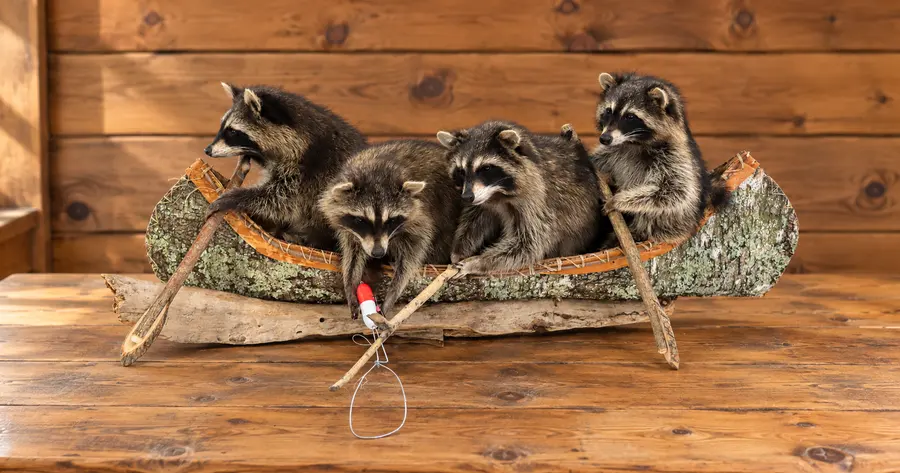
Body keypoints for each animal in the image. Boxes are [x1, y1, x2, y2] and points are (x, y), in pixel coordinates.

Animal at [204, 83, 367, 250]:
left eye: (232, 131)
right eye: (223, 126)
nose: (207, 150)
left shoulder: (310, 170)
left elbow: (281, 201)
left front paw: (236, 197)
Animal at [319, 140, 461, 318]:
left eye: (391, 220)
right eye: (361, 220)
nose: (378, 253)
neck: (377, 169)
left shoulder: (421, 215)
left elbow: (413, 252)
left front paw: (395, 289)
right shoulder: (351, 230)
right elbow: (352, 253)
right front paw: (350, 283)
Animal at [437, 121, 603, 276]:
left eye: (486, 168)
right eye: (461, 171)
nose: (466, 197)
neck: (498, 194)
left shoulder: (539, 198)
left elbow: (528, 244)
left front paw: (477, 262)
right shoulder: (482, 198)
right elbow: (475, 219)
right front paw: (460, 249)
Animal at [591, 72, 730, 243]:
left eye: (630, 116)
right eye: (609, 111)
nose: (604, 138)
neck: (633, 143)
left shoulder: (676, 157)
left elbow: (674, 192)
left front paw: (619, 200)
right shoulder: (612, 150)